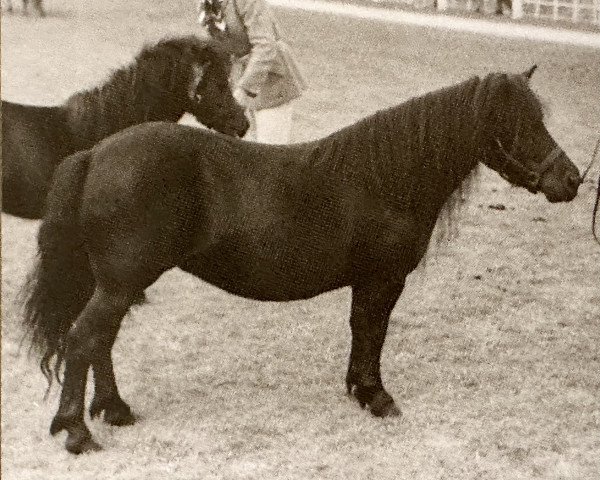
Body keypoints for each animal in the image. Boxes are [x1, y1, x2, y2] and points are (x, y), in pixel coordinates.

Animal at [23, 65, 580, 452]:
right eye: (520, 124)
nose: (572, 180)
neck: (387, 178)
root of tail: (95, 154)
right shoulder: (384, 279)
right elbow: (374, 332)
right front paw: (378, 398)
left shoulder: (369, 282)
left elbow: (362, 331)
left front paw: (358, 391)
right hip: (120, 284)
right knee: (83, 340)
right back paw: (78, 433)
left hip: (116, 285)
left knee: (98, 342)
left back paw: (114, 411)